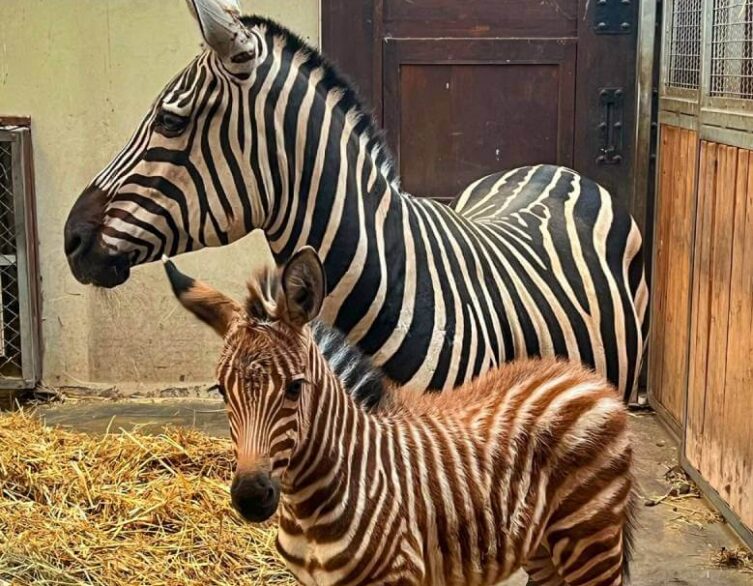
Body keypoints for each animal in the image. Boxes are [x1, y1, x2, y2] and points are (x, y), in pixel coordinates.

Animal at [164, 248, 636, 584]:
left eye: (295, 388)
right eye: (221, 391)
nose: (250, 497)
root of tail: (585, 376)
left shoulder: (397, 575)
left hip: (589, 536)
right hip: (543, 543)